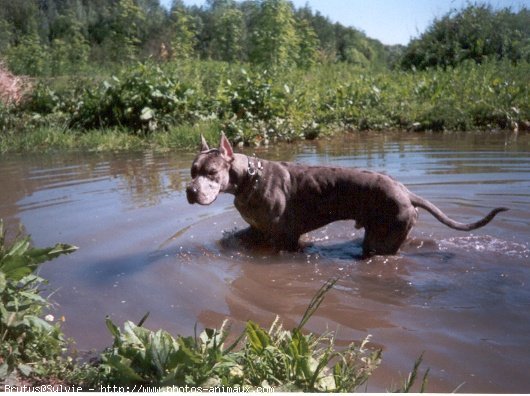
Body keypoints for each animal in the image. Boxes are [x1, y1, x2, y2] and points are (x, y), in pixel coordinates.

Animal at [187, 133, 508, 256]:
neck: (248, 179)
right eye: (192, 171)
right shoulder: (257, 230)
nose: (190, 191)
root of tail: (406, 191)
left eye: (212, 172)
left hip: (385, 234)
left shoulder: (287, 237)